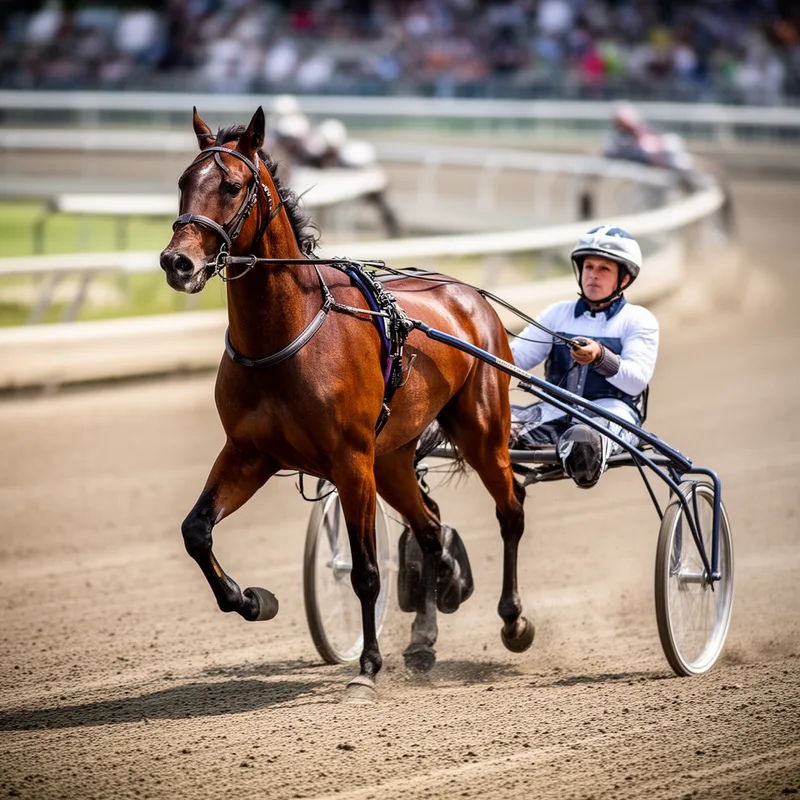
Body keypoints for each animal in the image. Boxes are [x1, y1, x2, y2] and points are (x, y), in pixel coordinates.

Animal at [159, 106, 532, 702]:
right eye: (182, 182)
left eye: (233, 186)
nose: (177, 263)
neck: (285, 336)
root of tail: (466, 293)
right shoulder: (247, 454)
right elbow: (196, 531)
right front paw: (252, 600)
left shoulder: (351, 461)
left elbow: (365, 573)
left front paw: (367, 668)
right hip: (395, 457)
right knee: (430, 529)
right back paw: (428, 627)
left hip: (479, 431)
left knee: (511, 506)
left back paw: (513, 619)